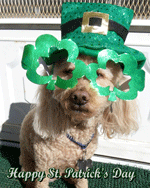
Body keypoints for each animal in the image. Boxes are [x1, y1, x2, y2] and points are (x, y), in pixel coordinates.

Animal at [19, 52, 138, 187]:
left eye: (99, 74)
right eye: (68, 71)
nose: (79, 97)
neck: (77, 130)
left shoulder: (82, 165)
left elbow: (82, 182)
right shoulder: (43, 165)